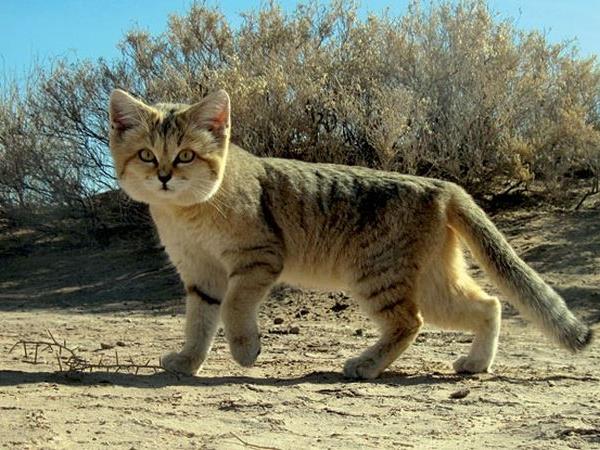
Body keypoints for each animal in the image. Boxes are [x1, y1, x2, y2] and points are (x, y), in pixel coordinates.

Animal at [108, 89, 592, 378]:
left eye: (186, 155)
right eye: (147, 155)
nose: (165, 176)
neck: (186, 212)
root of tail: (443, 185)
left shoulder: (257, 258)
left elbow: (233, 307)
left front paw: (245, 350)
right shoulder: (201, 275)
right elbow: (199, 322)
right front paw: (187, 362)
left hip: (375, 276)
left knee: (410, 321)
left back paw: (366, 364)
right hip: (433, 283)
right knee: (489, 305)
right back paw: (475, 363)